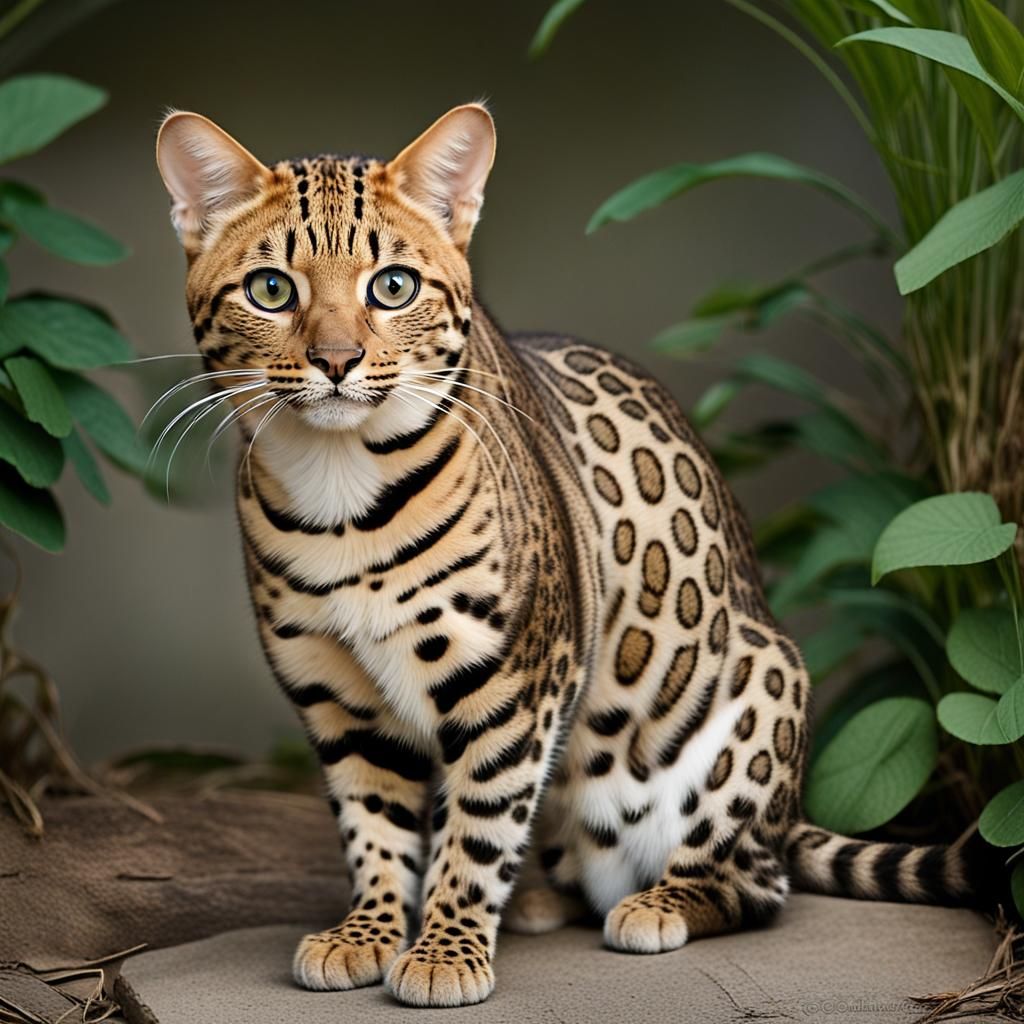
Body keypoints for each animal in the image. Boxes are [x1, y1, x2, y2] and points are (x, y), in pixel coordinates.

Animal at [154, 103, 976, 1008]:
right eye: (272, 290)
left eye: (392, 287)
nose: (337, 363)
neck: (339, 488)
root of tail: (789, 818)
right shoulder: (338, 700)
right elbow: (373, 826)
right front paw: (367, 931)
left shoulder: (513, 677)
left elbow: (479, 825)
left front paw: (444, 952)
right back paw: (539, 901)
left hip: (761, 692)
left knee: (755, 883)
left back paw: (659, 905)